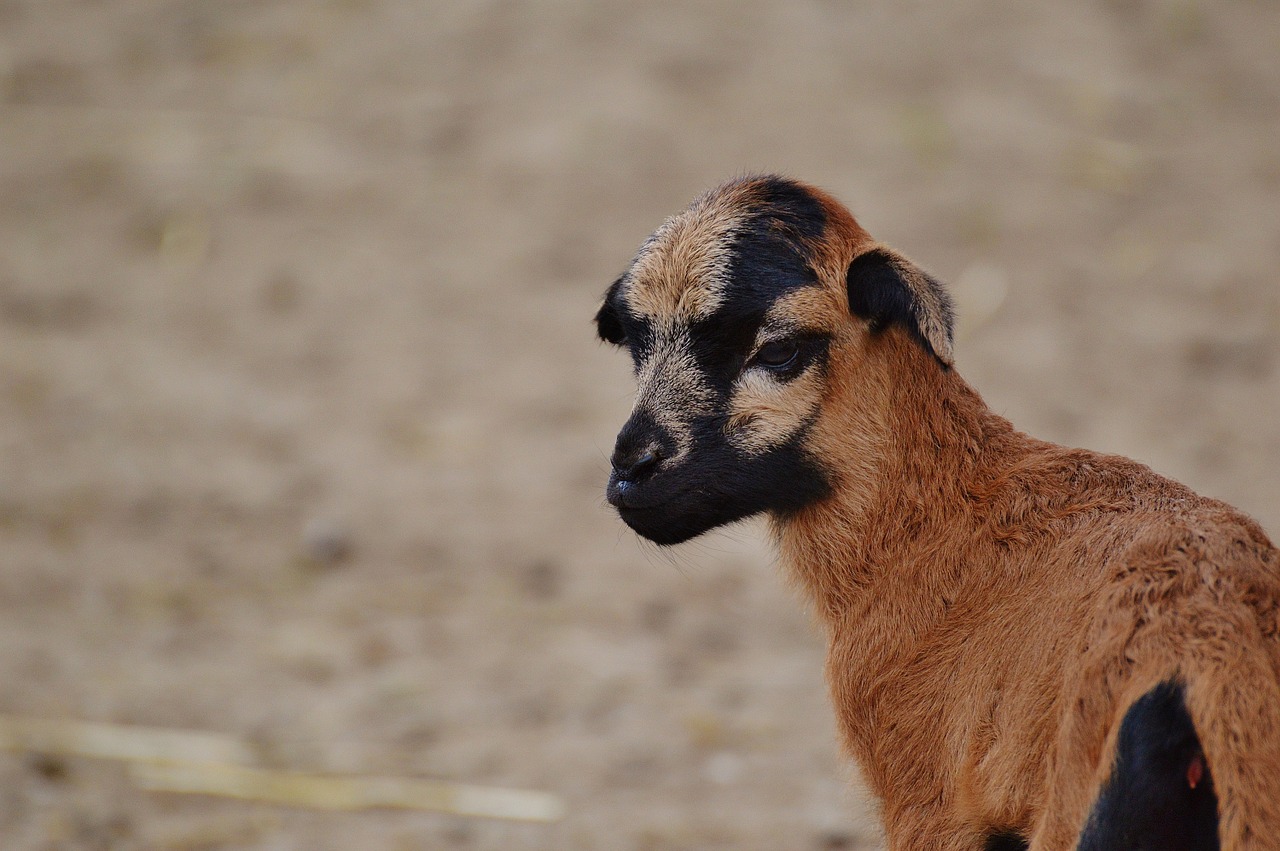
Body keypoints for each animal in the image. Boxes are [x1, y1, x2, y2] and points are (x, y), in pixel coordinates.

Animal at [593, 174, 1280, 849]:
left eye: (780, 350)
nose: (630, 470)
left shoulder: (928, 793)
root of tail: (1220, 663)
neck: (938, 517)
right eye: (635, 346)